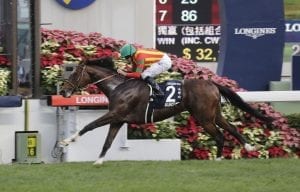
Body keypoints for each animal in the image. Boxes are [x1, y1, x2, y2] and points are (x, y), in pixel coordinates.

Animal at [59, 57, 272, 165]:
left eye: (75, 73)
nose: (63, 91)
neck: (118, 87)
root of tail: (212, 83)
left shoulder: (115, 114)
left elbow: (89, 126)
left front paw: (66, 141)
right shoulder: (118, 119)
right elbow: (107, 141)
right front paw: (99, 161)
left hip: (203, 117)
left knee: (220, 135)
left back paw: (218, 159)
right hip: (214, 114)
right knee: (231, 129)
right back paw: (247, 147)